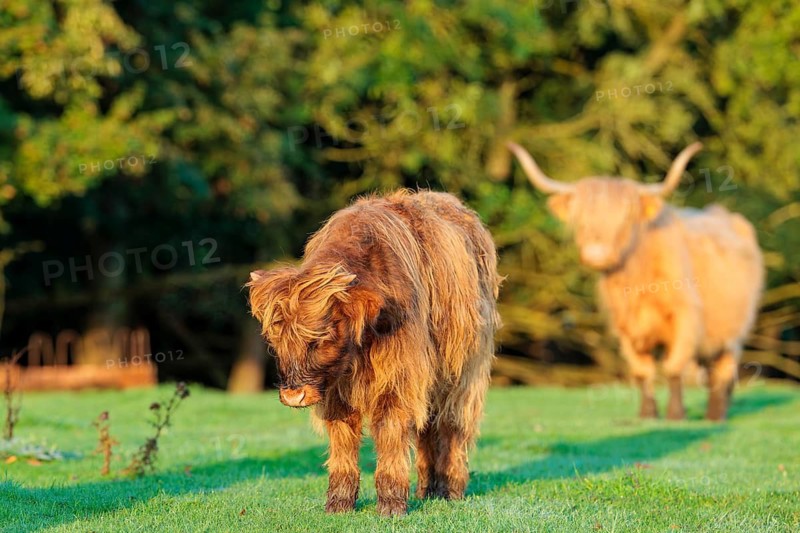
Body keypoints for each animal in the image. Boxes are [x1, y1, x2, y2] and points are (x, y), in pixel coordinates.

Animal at [247, 190, 501, 515]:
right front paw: (339, 503)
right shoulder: (335, 390)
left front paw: (391, 505)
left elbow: (390, 430)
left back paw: (449, 490)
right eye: (274, 339)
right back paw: (426, 490)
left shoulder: (399, 376)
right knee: (427, 427)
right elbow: (342, 437)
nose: (293, 395)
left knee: (452, 424)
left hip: (464, 373)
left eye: (323, 335)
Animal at [508, 141, 763, 421]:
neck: (636, 281)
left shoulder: (686, 316)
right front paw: (647, 415)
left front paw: (675, 416)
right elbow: (641, 372)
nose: (597, 254)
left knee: (723, 371)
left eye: (625, 219)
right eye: (582, 220)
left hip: (734, 331)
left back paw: (715, 416)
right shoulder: (625, 326)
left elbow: (674, 366)